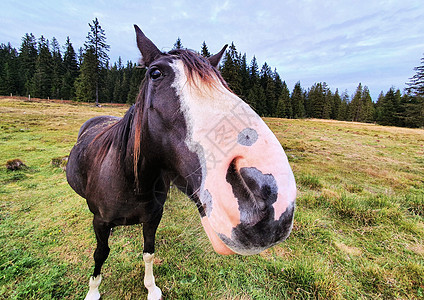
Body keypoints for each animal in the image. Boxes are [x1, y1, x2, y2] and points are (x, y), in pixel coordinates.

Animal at [66, 24, 296, 298]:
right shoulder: (99, 222)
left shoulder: (154, 218)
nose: (271, 197)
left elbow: (148, 252)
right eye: (155, 73)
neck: (133, 181)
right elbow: (100, 253)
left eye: (221, 82)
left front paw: (151, 287)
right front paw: (93, 290)